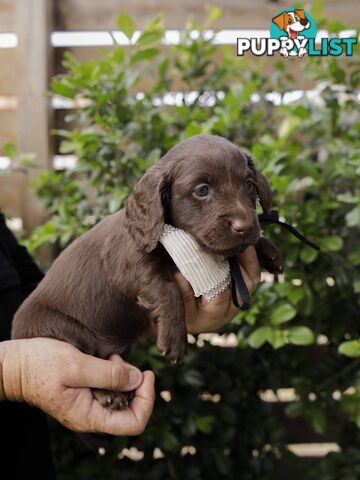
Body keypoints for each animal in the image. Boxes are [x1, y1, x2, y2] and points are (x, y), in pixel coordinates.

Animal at [11, 134, 282, 408]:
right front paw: (174, 340)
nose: (245, 226)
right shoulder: (129, 266)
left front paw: (269, 250)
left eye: (248, 184)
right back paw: (109, 394)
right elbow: (166, 290)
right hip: (64, 330)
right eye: (202, 190)